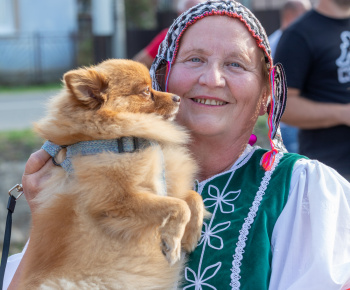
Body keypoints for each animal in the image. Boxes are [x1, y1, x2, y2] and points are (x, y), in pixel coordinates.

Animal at [18, 59, 205, 290]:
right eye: (146, 92)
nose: (177, 98)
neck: (123, 137)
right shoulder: (117, 201)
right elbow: (179, 206)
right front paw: (172, 243)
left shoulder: (164, 186)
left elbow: (192, 198)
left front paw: (191, 234)